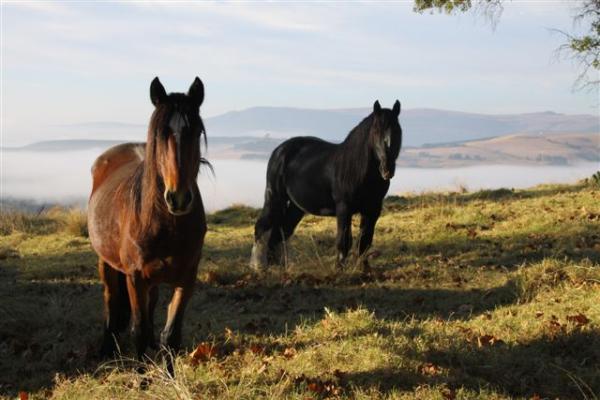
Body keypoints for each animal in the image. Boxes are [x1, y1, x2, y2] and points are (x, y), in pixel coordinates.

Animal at [86, 76, 209, 368]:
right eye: (160, 134)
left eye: (196, 131)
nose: (178, 198)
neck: (167, 225)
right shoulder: (135, 277)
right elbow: (138, 332)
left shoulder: (186, 278)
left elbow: (171, 335)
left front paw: (168, 375)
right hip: (107, 264)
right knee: (111, 300)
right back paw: (107, 348)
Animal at [250, 99, 404, 272]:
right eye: (376, 131)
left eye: (398, 130)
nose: (387, 169)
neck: (356, 169)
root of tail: (279, 150)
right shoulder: (344, 208)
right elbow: (344, 242)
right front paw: (339, 270)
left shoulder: (372, 210)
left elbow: (364, 242)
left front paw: (364, 269)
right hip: (274, 197)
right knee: (262, 227)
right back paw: (258, 266)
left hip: (296, 207)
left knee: (281, 231)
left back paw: (278, 266)